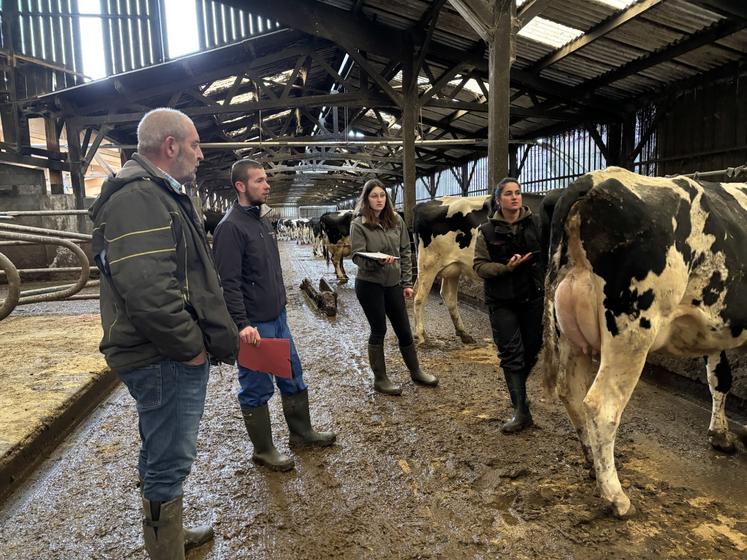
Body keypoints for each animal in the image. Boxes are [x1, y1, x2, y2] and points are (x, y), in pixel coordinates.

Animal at [544, 167, 747, 520]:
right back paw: (616, 497)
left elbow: (719, 377)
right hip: (632, 330)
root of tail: (591, 181)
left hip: (569, 329)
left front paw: (720, 434)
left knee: (571, 392)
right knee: (601, 406)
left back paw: (592, 464)